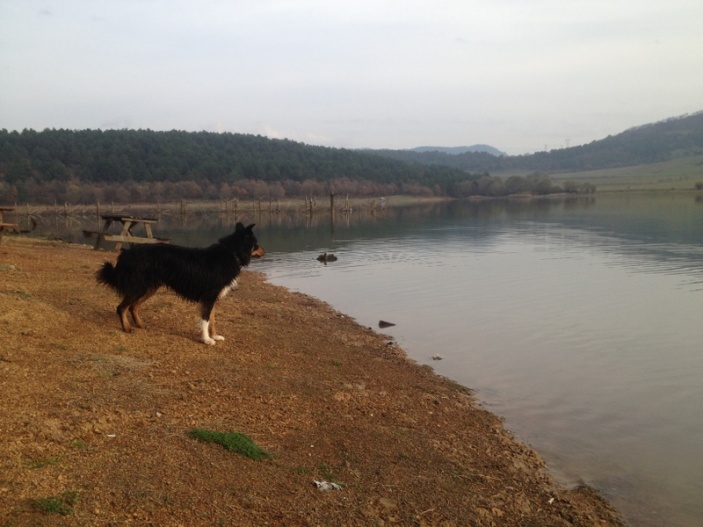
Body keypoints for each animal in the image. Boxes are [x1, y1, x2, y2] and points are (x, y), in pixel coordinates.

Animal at [97, 222, 264, 342]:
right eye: (255, 243)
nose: (264, 251)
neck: (232, 252)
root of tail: (126, 253)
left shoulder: (212, 297)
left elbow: (212, 320)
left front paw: (215, 336)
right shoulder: (208, 297)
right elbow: (205, 320)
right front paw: (206, 340)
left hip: (149, 288)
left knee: (133, 307)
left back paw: (140, 324)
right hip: (139, 287)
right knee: (121, 307)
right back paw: (126, 327)